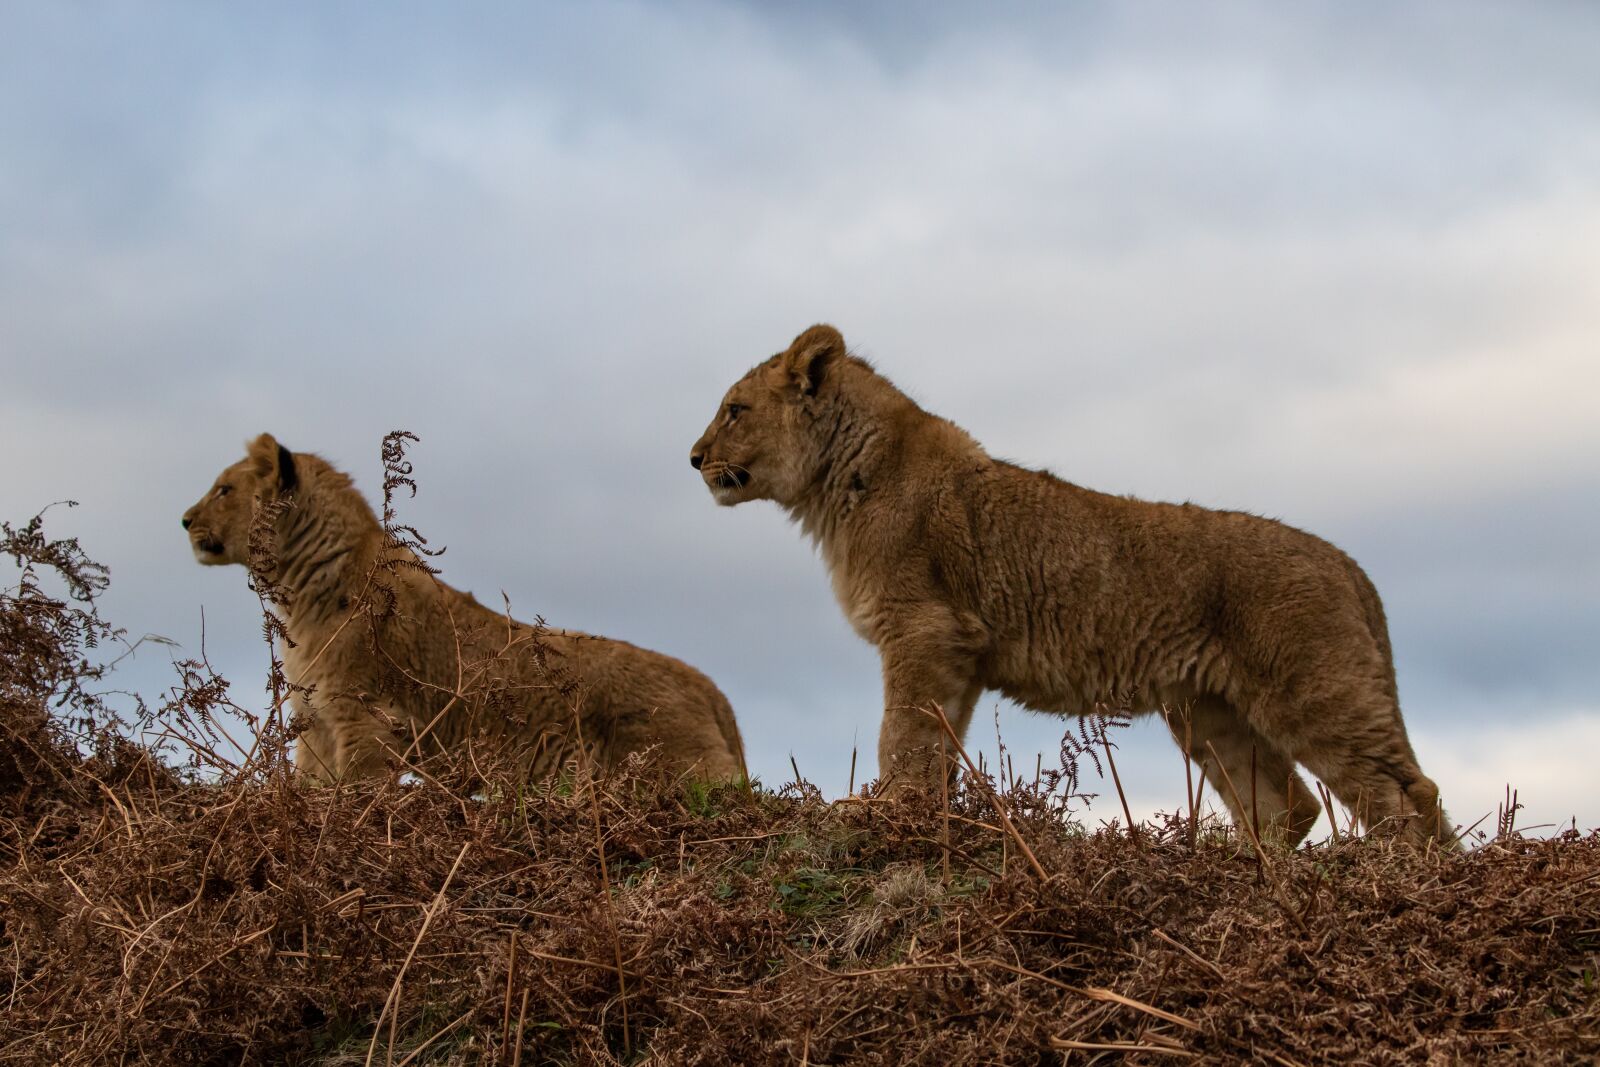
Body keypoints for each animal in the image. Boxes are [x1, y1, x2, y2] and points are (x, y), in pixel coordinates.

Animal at [183, 434, 745, 784]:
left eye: (224, 489)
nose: (184, 519)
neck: (302, 591)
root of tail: (713, 690)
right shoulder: (316, 724)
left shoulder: (368, 720)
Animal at [691, 325, 1455, 848]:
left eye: (735, 409)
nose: (694, 457)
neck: (836, 485)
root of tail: (1350, 565)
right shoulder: (960, 653)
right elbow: (938, 743)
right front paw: (925, 816)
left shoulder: (922, 629)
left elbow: (900, 734)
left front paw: (878, 812)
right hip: (1208, 711)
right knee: (1287, 804)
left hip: (1312, 691)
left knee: (1406, 792)